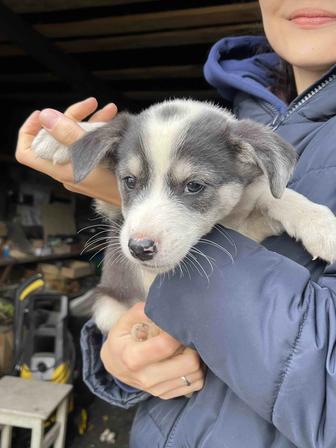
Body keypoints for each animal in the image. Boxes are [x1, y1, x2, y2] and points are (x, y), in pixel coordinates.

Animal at [32, 100, 336, 334]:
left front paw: (324, 228)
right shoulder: (111, 210)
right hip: (108, 308)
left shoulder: (252, 222)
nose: (140, 249)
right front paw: (58, 136)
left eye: (194, 186)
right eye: (129, 181)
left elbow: (280, 197)